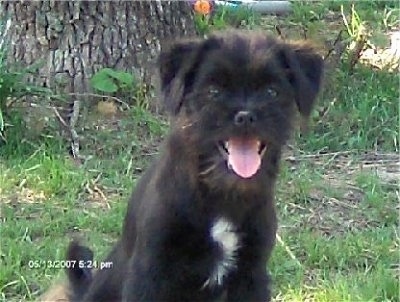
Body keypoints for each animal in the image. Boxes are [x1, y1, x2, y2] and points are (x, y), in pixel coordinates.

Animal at [62, 28, 324, 302]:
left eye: (271, 92)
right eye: (214, 91)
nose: (245, 116)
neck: (221, 194)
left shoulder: (251, 273)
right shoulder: (150, 272)